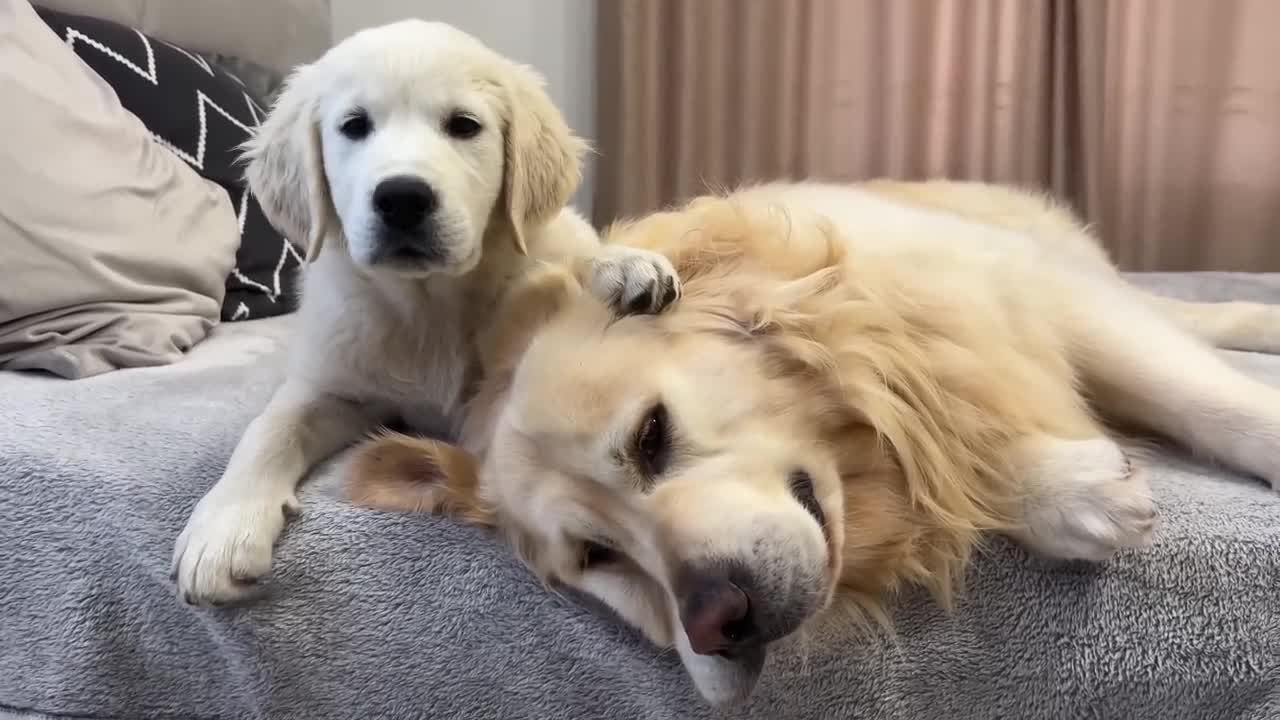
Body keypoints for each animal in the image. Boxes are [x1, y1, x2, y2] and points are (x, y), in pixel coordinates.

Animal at [345, 179, 1280, 702]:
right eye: (593, 558)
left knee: (1186, 319)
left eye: (651, 436)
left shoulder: (1017, 300)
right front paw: (1066, 490)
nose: (717, 623)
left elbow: (1202, 401)